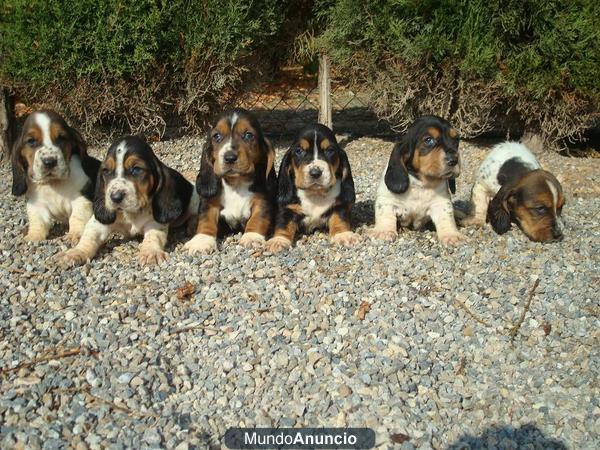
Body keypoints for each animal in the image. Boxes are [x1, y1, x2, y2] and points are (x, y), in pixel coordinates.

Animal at [11, 109, 100, 243]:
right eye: (31, 141)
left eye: (61, 138)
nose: (49, 162)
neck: (53, 183)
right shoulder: (36, 204)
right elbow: (37, 220)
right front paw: (33, 236)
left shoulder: (81, 198)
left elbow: (76, 216)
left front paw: (74, 234)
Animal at [56, 135, 198, 266]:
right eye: (106, 171)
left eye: (136, 169)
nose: (115, 197)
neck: (131, 213)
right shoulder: (97, 224)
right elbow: (88, 236)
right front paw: (76, 252)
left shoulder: (155, 223)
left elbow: (153, 236)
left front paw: (150, 253)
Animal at [183, 108, 276, 253]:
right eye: (216, 136)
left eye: (248, 135)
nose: (230, 157)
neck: (236, 183)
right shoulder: (209, 202)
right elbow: (206, 220)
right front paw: (201, 241)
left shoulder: (263, 201)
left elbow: (258, 218)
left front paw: (252, 237)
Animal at [264, 123, 358, 253]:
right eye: (299, 151)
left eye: (330, 150)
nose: (315, 173)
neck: (315, 194)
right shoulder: (288, 208)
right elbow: (283, 224)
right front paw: (278, 241)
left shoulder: (339, 205)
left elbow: (340, 218)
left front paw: (343, 235)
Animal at [370, 114, 464, 244]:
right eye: (428, 140)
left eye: (456, 139)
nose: (454, 160)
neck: (421, 183)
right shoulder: (387, 201)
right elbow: (385, 216)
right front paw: (384, 231)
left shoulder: (441, 203)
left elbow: (446, 219)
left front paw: (451, 235)